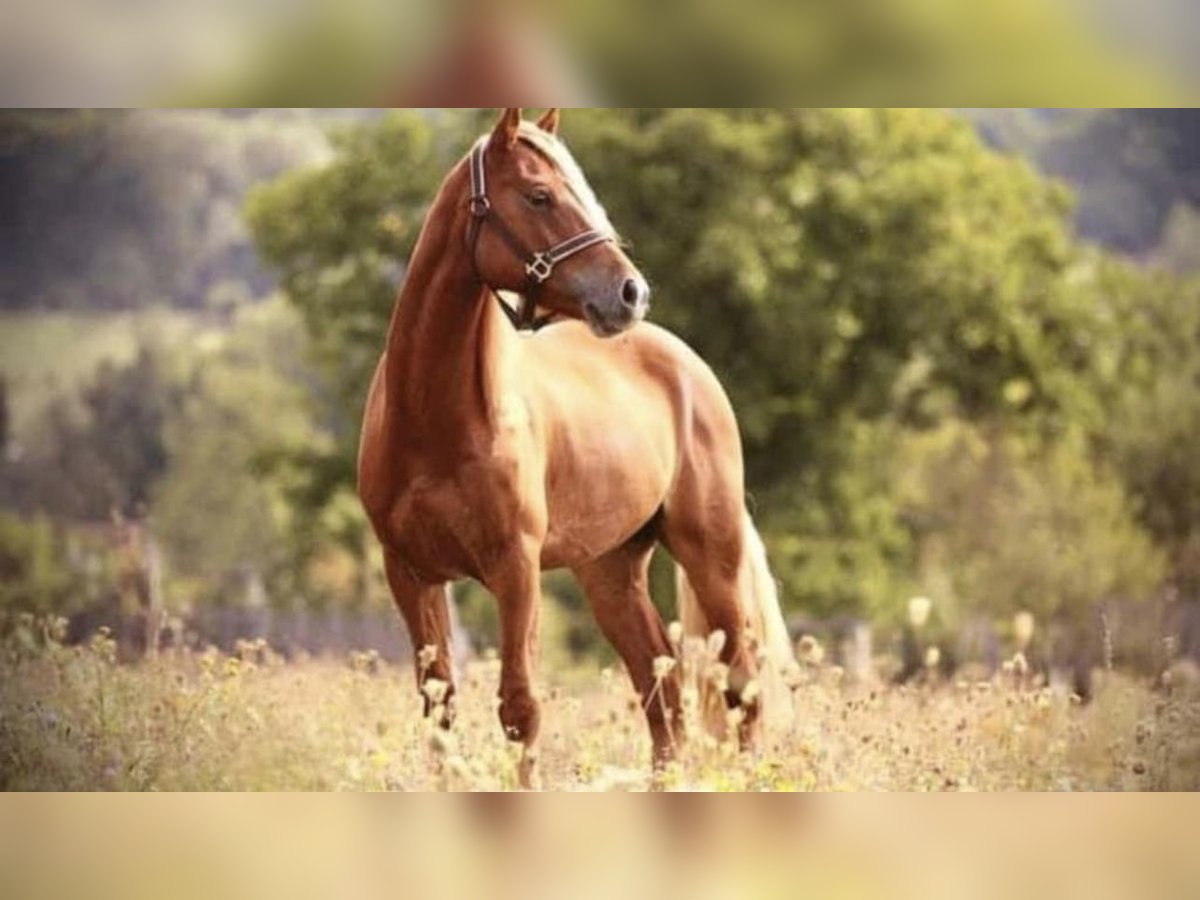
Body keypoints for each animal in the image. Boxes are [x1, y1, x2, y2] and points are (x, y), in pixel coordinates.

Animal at [358, 108, 794, 787]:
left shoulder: (515, 568)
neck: (436, 419)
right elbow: (440, 710)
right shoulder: (409, 572)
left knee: (739, 685)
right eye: (539, 195)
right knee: (662, 691)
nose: (630, 293)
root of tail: (687, 364)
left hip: (711, 555)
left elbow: (519, 708)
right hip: (611, 572)